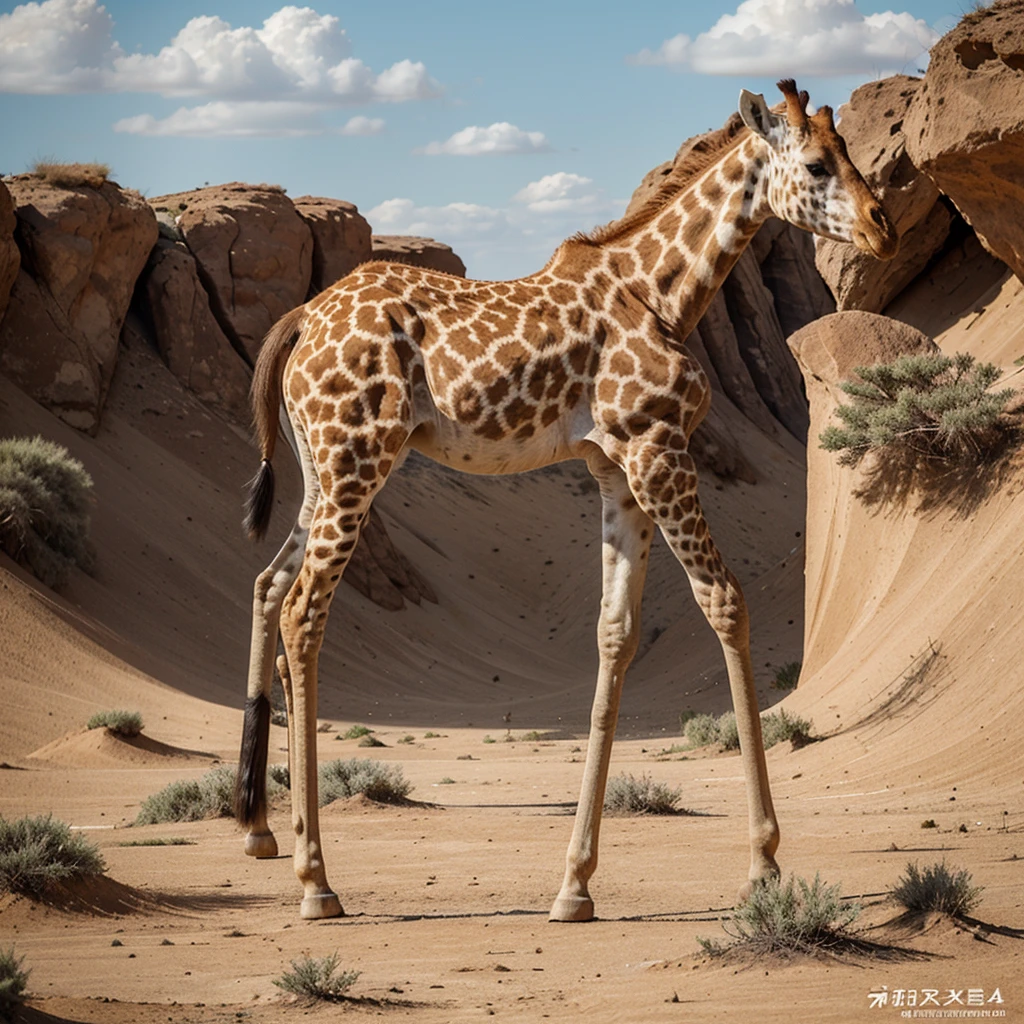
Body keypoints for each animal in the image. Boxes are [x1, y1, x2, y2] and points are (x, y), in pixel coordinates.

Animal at [232, 83, 897, 925]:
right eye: (814, 163)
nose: (883, 229)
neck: (663, 295)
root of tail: (297, 321)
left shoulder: (616, 467)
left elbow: (615, 634)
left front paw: (576, 883)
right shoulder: (655, 446)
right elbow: (726, 603)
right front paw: (764, 863)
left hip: (321, 468)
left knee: (268, 585)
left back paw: (261, 830)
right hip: (358, 458)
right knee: (303, 609)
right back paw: (316, 881)